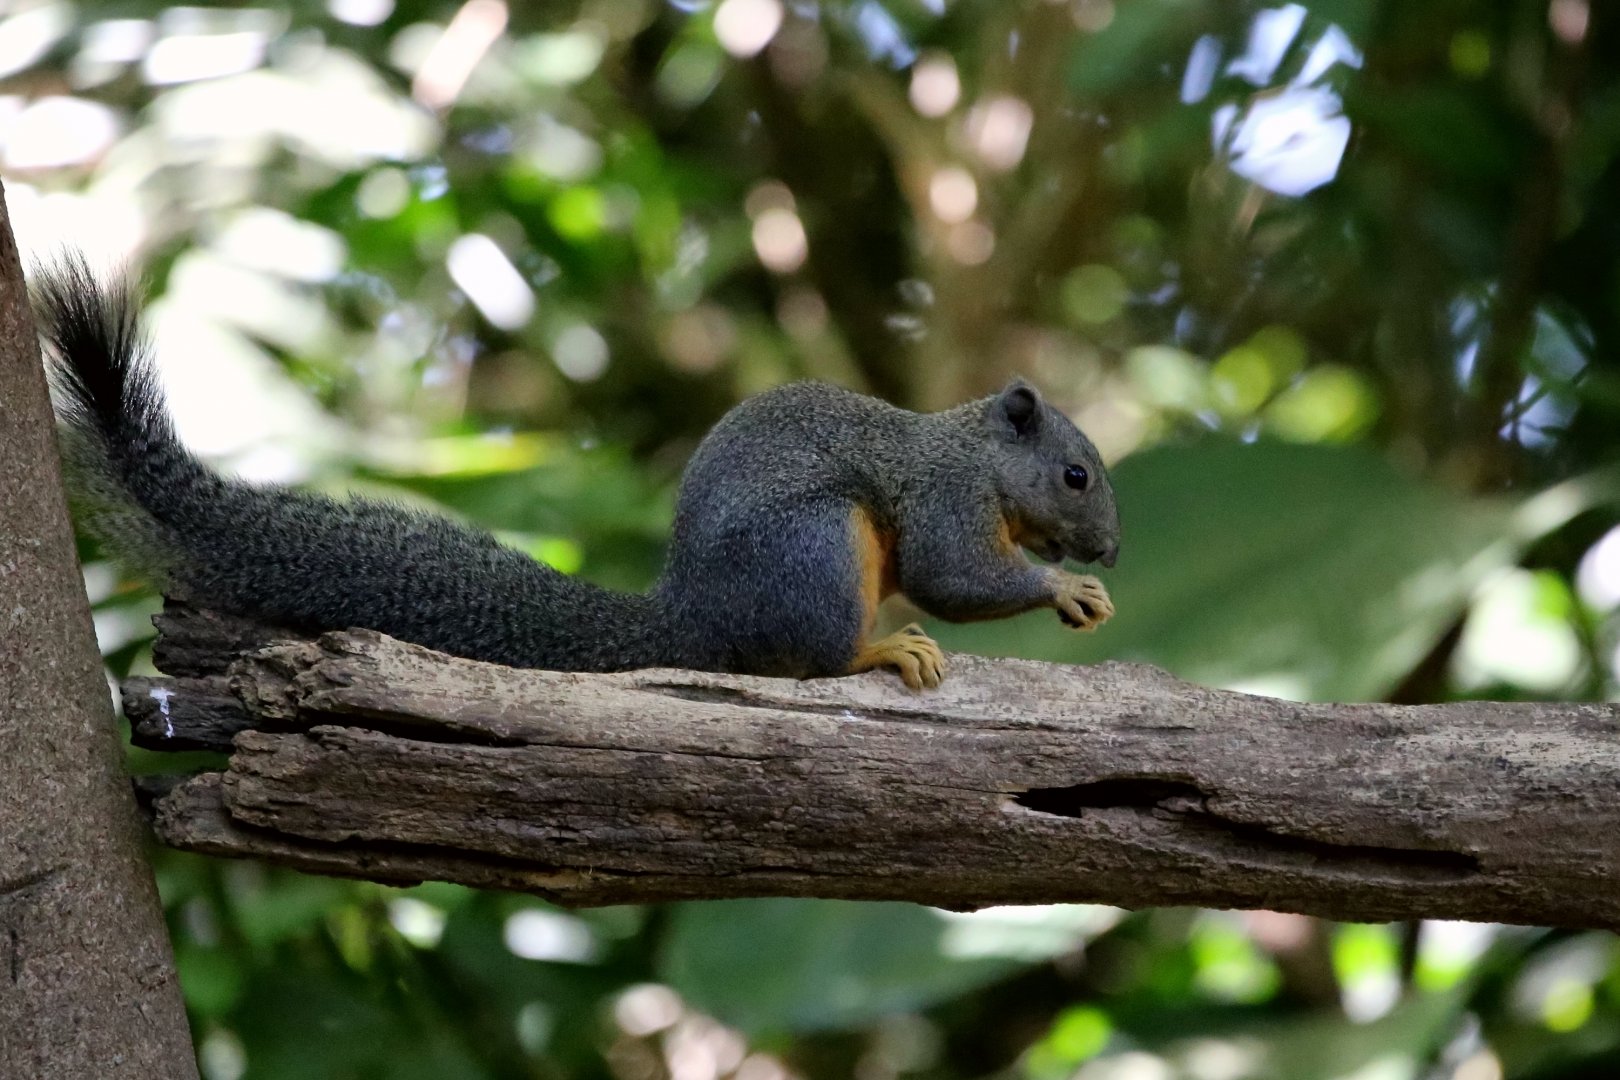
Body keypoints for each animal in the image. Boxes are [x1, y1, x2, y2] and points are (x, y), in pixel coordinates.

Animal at [35, 255, 1120, 690]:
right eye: (1075, 475)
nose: (1110, 548)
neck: (977, 453)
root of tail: (692, 619)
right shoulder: (944, 498)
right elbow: (952, 575)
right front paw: (1064, 588)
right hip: (815, 548)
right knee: (800, 659)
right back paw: (879, 649)